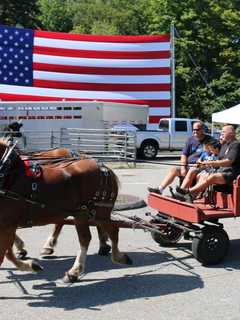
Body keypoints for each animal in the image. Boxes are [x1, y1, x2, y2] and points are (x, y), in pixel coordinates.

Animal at [0, 140, 131, 282]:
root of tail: (103, 167)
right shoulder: (7, 226)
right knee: (86, 236)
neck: (8, 174)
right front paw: (27, 260)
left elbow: (5, 253)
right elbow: (8, 253)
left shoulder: (8, 225)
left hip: (99, 211)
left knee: (111, 231)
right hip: (81, 213)